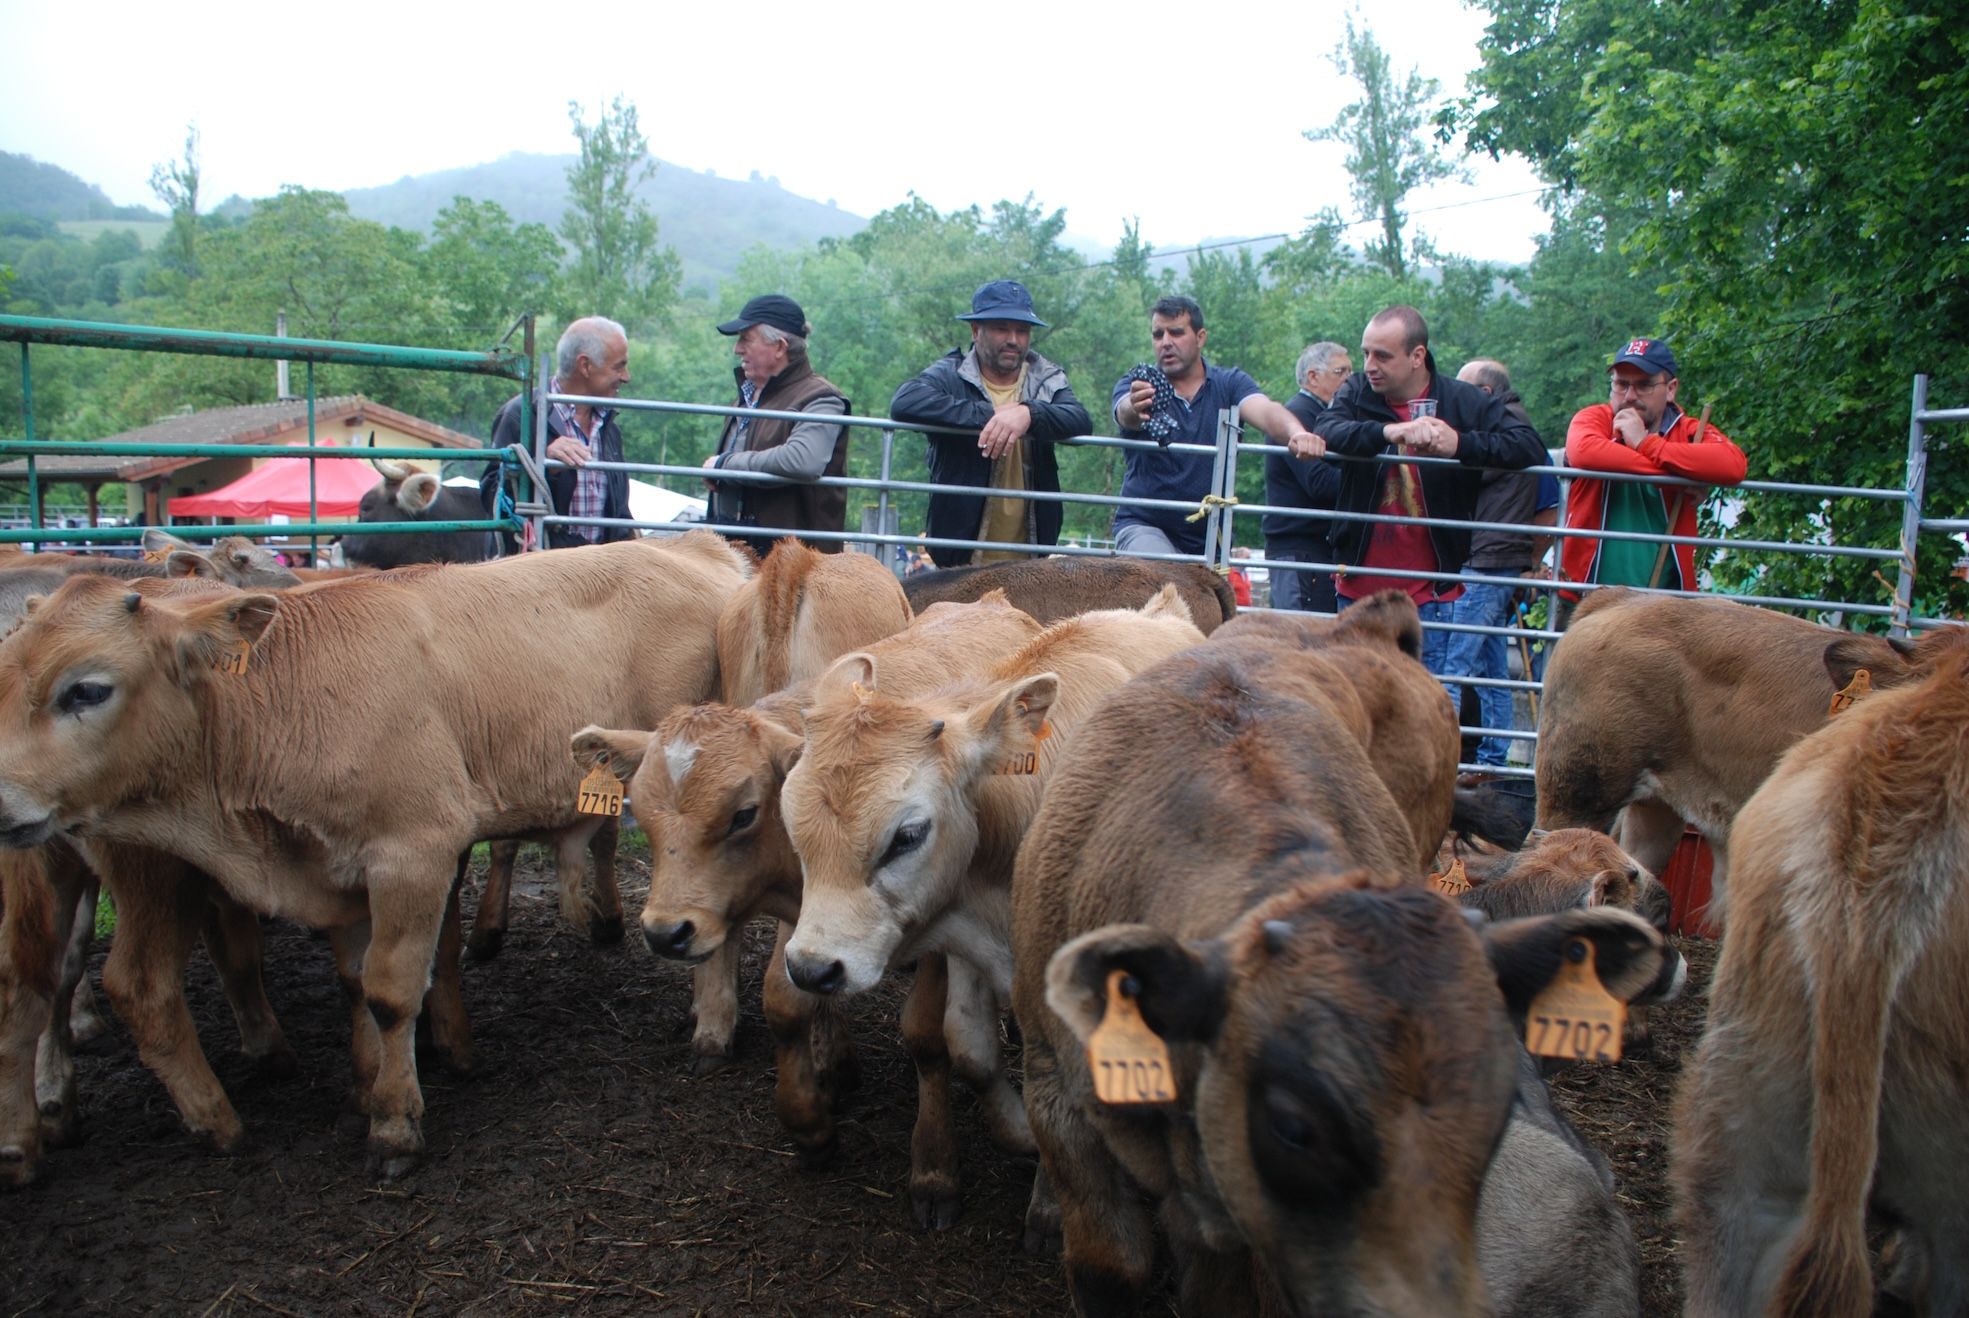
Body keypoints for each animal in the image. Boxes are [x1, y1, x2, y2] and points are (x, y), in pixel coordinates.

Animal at [0, 535, 748, 1174]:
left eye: (86, 688)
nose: (1, 797)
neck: (284, 701)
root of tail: (698, 547)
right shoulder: (348, 872)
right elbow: (358, 981)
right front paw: (370, 1087)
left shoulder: (411, 856)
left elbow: (390, 990)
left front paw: (392, 1123)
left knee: (129, 985)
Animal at [574, 591, 1047, 1229]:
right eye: (640, 815)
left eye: (744, 814)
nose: (665, 933)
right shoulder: (807, 923)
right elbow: (785, 1001)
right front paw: (813, 1116)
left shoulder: (936, 924)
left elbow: (927, 1037)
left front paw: (934, 1168)